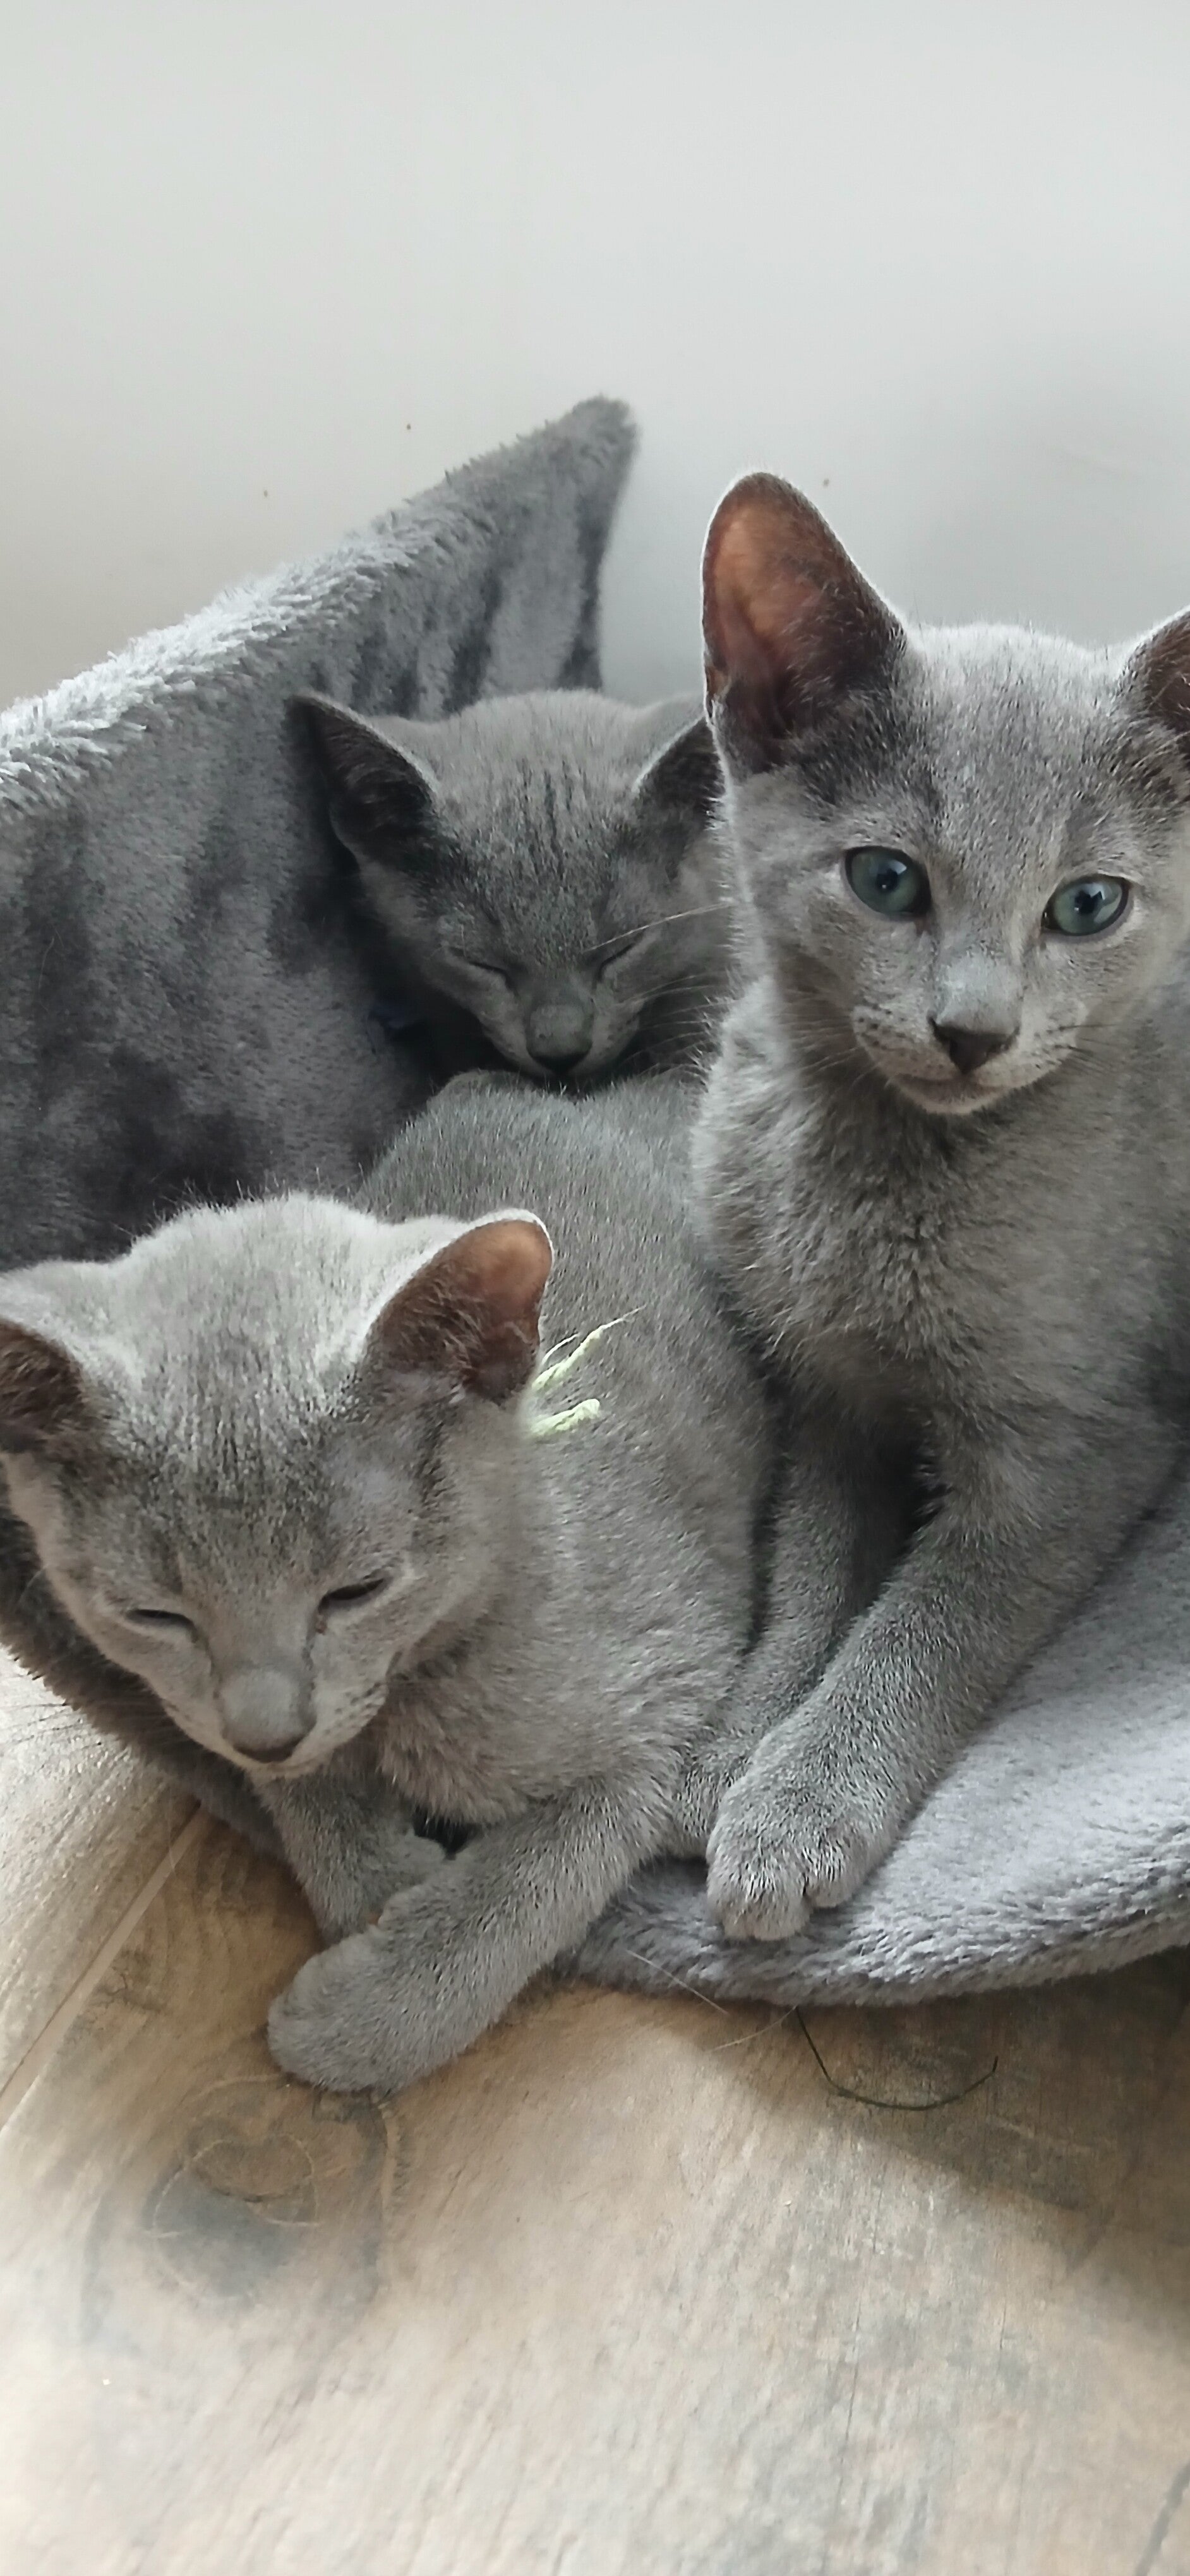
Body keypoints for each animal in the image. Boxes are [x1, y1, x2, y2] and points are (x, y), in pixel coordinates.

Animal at [0, 1073, 775, 2094]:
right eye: (153, 1615)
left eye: (356, 1591)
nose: (267, 1730)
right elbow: (307, 1794)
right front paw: (372, 1880)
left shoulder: (666, 1685)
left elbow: (542, 1875)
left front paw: (367, 2013)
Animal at [597, 469, 1190, 1959]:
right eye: (886, 880)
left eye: (1086, 904)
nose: (973, 1031)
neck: (879, 1184)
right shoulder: (825, 1393)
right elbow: (806, 1573)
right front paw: (732, 1749)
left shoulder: (1078, 1449)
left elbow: (924, 1625)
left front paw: (795, 1807)